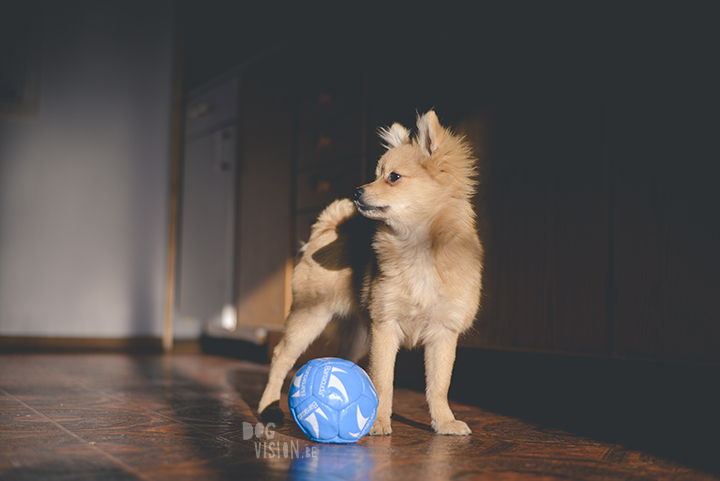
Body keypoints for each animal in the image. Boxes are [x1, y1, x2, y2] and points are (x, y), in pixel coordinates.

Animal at [258, 109, 484, 436]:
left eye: (393, 177)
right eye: (377, 173)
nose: (356, 191)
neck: (417, 247)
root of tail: (328, 228)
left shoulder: (443, 333)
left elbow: (439, 384)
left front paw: (443, 423)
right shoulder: (385, 327)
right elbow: (383, 381)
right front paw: (378, 422)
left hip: (356, 335)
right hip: (309, 315)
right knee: (280, 358)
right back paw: (268, 407)